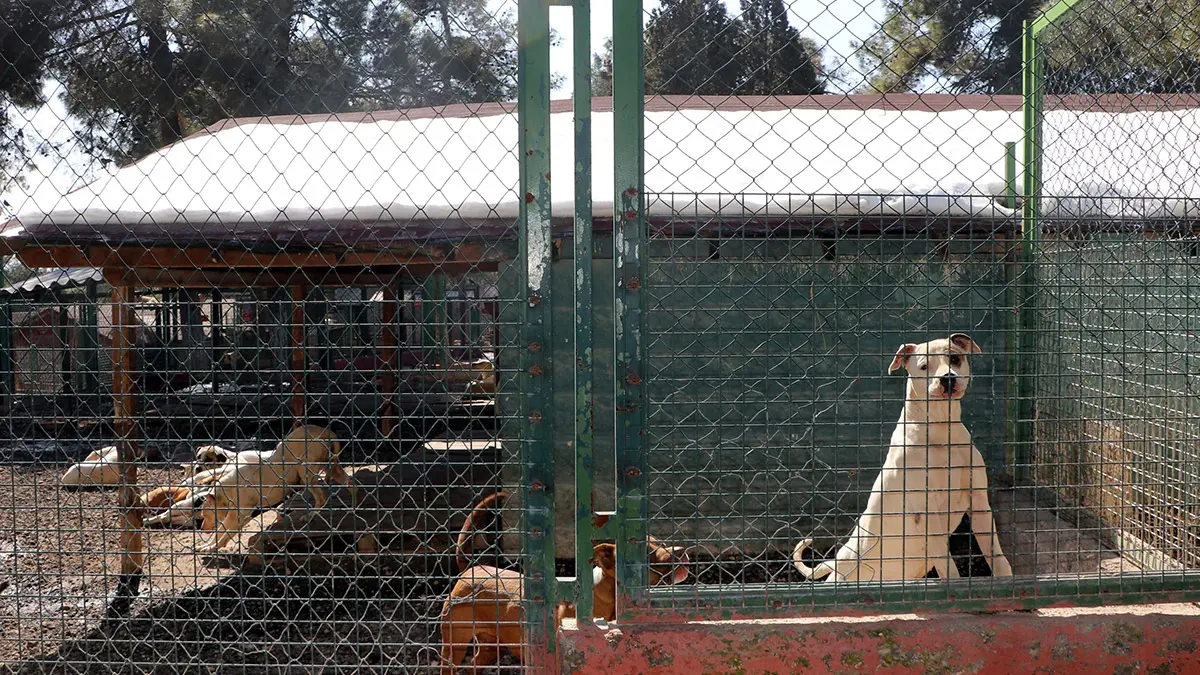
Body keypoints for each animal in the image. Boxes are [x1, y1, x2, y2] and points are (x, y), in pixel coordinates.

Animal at [194, 425, 350, 552]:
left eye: (205, 515)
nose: (201, 529)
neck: (230, 488)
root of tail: (327, 431)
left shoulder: (239, 517)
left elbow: (224, 534)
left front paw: (212, 547)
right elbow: (220, 531)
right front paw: (207, 545)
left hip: (305, 469)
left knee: (322, 497)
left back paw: (309, 516)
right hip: (332, 467)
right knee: (351, 483)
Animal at [439, 535, 686, 667]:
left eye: (661, 543)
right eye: (646, 553)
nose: (681, 550)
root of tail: (472, 569)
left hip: (491, 646)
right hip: (453, 643)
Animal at [796, 333, 1012, 581]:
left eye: (955, 359)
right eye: (924, 366)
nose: (948, 379)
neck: (940, 429)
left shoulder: (979, 503)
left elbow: (997, 556)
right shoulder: (927, 513)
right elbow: (948, 566)